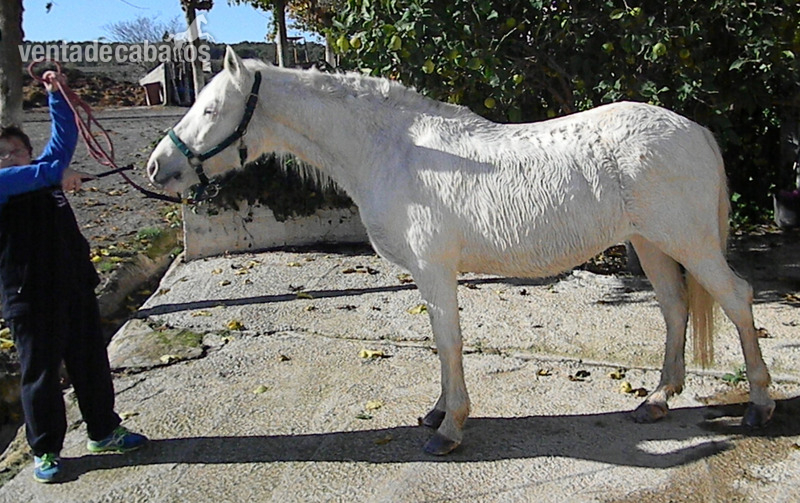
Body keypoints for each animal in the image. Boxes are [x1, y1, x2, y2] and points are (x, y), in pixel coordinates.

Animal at [146, 46, 775, 455]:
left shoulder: (435, 270)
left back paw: (760, 406)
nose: (157, 168)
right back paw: (659, 399)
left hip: (688, 242)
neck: (397, 151)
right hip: (650, 244)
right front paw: (436, 413)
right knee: (675, 309)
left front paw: (450, 428)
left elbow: (449, 344)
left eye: (209, 109)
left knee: (737, 300)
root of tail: (695, 129)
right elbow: (439, 343)